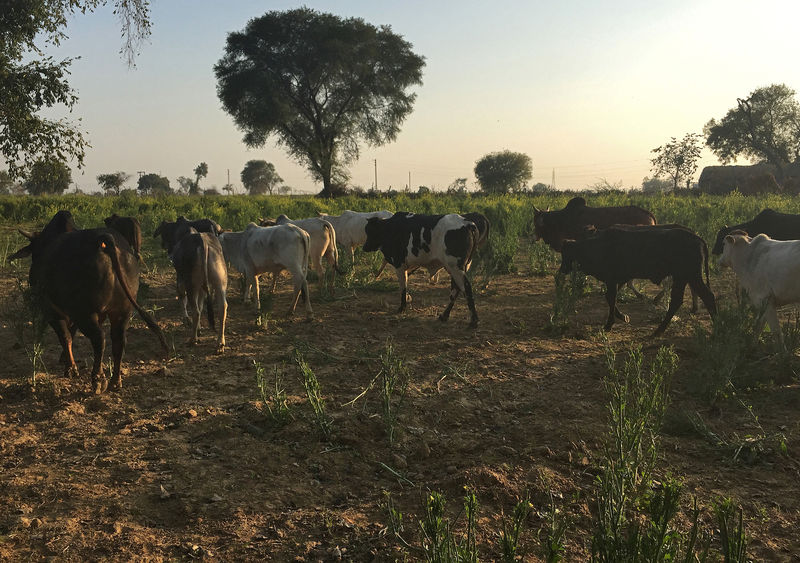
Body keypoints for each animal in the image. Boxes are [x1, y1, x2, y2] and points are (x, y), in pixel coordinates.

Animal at [8, 210, 167, 392]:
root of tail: (104, 241)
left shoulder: (52, 311)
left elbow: (65, 337)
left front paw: (70, 369)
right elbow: (71, 334)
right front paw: (65, 360)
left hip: (86, 313)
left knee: (99, 339)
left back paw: (98, 379)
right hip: (122, 311)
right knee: (119, 340)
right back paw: (115, 381)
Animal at [560, 224, 716, 334]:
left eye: (565, 254)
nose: (561, 269)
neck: (597, 246)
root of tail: (697, 238)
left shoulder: (612, 279)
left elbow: (611, 298)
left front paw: (610, 324)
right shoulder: (620, 279)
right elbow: (611, 298)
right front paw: (622, 316)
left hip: (690, 276)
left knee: (705, 296)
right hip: (684, 278)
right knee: (682, 300)